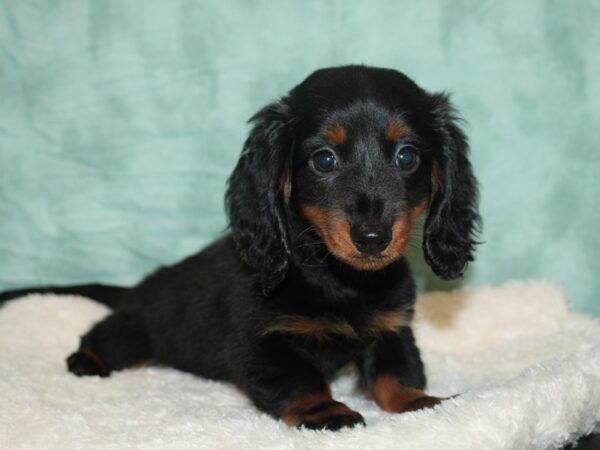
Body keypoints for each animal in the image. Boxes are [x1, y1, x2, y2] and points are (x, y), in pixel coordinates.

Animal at [0, 65, 478, 430]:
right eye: (324, 160)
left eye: (407, 157)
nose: (372, 238)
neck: (338, 278)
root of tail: (138, 288)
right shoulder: (259, 341)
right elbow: (300, 380)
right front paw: (325, 411)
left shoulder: (392, 327)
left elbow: (396, 373)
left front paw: (422, 404)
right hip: (134, 331)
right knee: (104, 334)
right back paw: (86, 359)